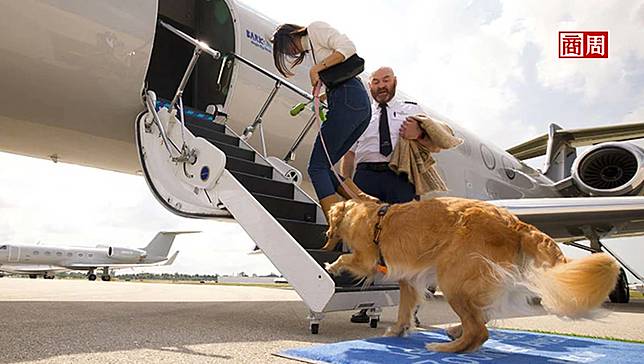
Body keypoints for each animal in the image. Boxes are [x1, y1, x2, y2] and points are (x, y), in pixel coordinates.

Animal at [324, 198, 620, 354]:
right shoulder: (409, 279)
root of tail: (515, 222)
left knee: (480, 330)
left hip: (453, 278)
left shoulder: (366, 259)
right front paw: (398, 329)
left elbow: (348, 259)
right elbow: (405, 309)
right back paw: (456, 331)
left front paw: (332, 266)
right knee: (482, 316)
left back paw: (444, 348)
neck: (365, 213)